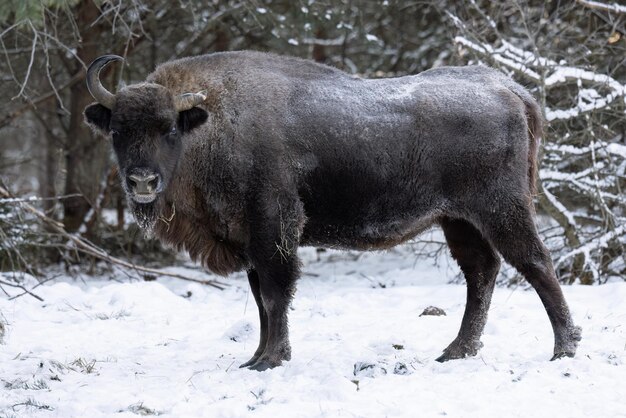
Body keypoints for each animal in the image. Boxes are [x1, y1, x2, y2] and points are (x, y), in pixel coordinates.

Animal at [83, 51, 580, 370]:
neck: (210, 123)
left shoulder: (273, 229)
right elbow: (260, 300)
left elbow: (274, 295)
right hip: (458, 220)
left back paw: (564, 349)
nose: (142, 182)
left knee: (536, 264)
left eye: (169, 128)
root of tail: (511, 90)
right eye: (118, 130)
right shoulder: (250, 241)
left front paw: (270, 360)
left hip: (500, 210)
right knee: (482, 271)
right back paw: (456, 350)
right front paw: (255, 357)